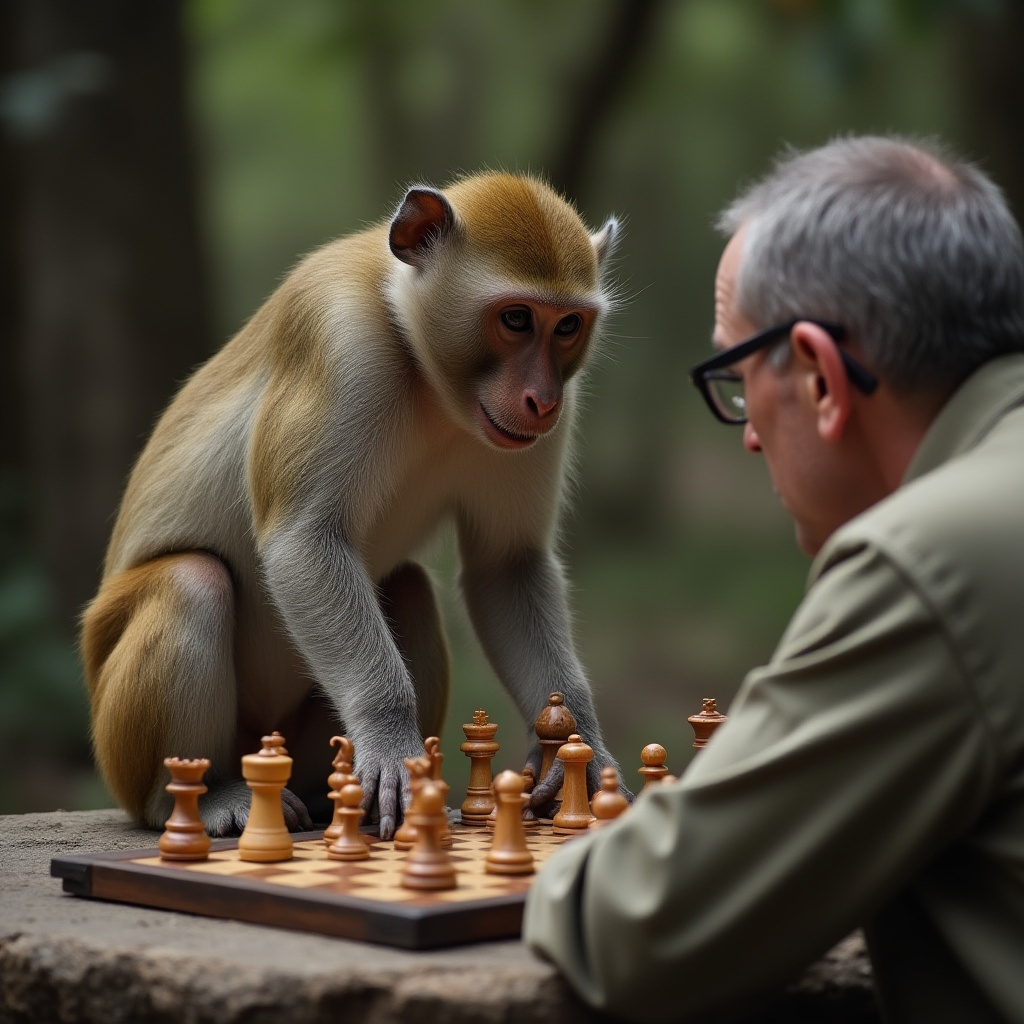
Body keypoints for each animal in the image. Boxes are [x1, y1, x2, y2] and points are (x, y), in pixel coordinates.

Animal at [81, 172, 624, 840]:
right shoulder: (338, 336)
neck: (419, 360)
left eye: (568, 326)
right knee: (191, 581)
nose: (541, 400)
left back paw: (324, 799)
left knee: (409, 587)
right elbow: (304, 539)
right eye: (517, 318)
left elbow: (506, 564)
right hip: (122, 745)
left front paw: (581, 750)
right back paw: (200, 797)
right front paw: (390, 741)